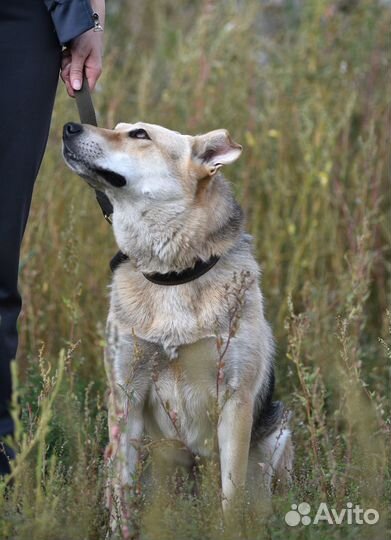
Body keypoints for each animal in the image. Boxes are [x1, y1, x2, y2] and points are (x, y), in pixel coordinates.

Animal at [62, 119, 294, 520]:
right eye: (117, 127)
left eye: (139, 134)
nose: (69, 126)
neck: (173, 275)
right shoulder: (125, 393)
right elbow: (121, 494)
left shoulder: (236, 399)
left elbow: (231, 498)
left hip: (278, 434)